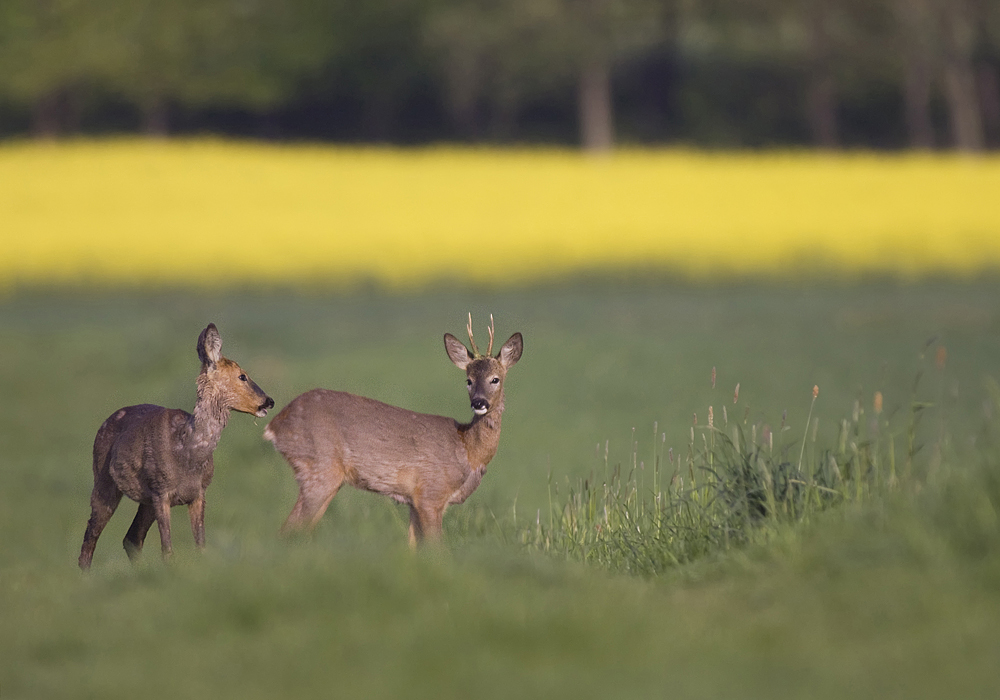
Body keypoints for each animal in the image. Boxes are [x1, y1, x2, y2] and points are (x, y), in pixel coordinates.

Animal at [78, 322, 274, 568]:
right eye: (242, 376)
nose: (269, 401)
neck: (188, 452)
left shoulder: (198, 493)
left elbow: (201, 547)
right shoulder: (161, 492)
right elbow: (168, 550)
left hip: (145, 500)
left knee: (132, 537)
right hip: (104, 479)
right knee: (90, 539)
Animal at [266, 314, 524, 544]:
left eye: (495, 379)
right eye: (468, 380)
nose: (479, 403)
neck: (468, 450)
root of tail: (275, 424)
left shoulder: (413, 501)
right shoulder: (430, 493)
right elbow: (436, 548)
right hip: (319, 468)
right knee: (288, 530)